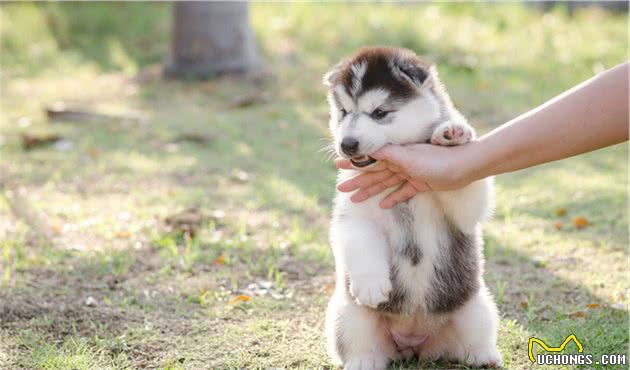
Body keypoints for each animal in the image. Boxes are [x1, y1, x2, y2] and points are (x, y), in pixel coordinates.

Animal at [326, 47, 504, 370]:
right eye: (343, 112)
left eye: (379, 113)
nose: (347, 144)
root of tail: (411, 341)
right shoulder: (354, 211)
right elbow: (359, 240)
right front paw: (371, 284)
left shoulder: (462, 210)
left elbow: (466, 196)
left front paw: (450, 134)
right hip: (347, 316)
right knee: (361, 344)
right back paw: (363, 361)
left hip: (478, 307)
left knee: (472, 340)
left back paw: (484, 356)